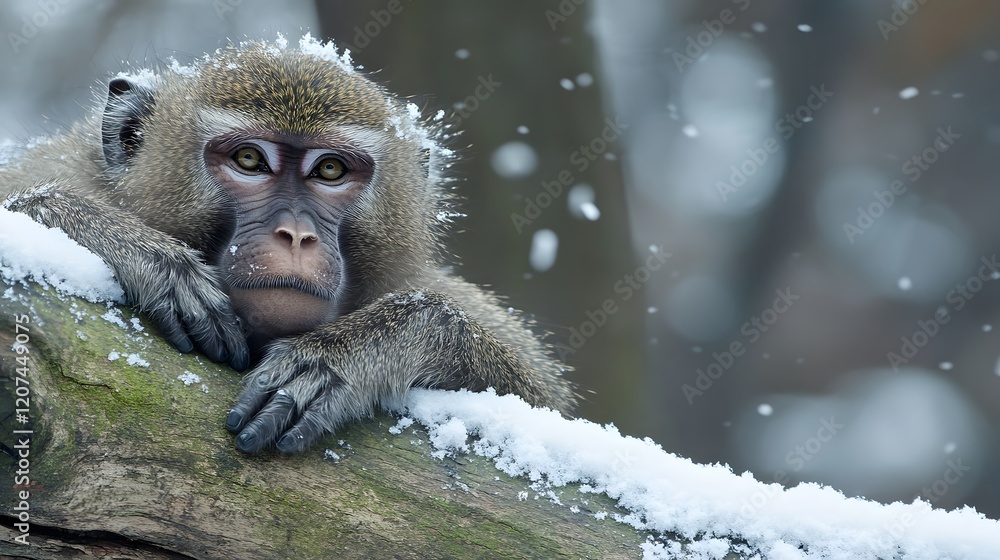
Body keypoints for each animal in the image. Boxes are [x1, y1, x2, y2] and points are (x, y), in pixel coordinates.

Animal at [0, 35, 576, 454]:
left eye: (330, 170)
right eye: (250, 160)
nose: (296, 234)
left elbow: (541, 406)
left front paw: (352, 353)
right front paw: (148, 256)